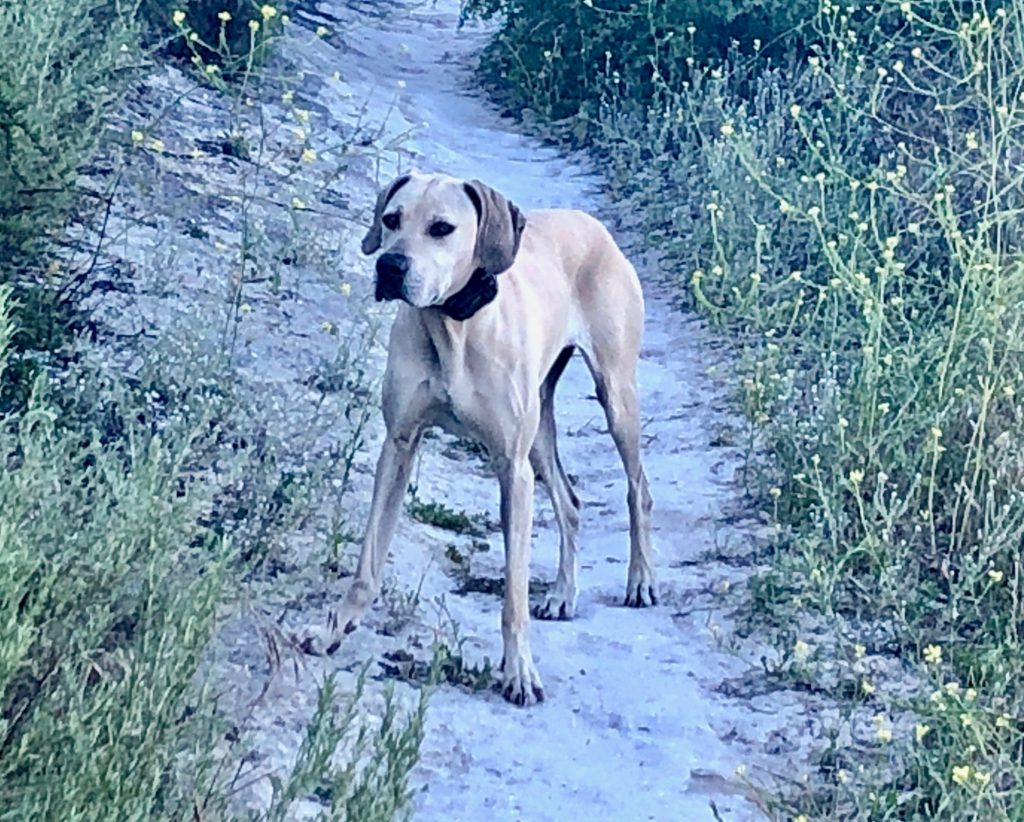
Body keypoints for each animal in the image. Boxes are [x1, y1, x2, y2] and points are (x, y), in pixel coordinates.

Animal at [335, 169, 655, 704]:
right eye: (391, 219)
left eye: (442, 228)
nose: (389, 266)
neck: (453, 324)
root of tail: (592, 224)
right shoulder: (398, 445)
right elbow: (367, 561)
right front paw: (332, 628)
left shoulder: (513, 471)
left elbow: (513, 595)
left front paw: (519, 671)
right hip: (541, 431)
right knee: (570, 502)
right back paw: (563, 593)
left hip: (616, 396)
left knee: (639, 490)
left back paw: (641, 579)